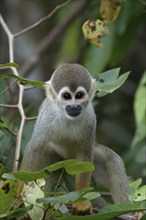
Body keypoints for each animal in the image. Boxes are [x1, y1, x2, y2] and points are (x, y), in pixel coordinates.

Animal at [21, 63, 129, 215]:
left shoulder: (90, 118)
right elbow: (35, 149)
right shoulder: (47, 118)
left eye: (79, 96)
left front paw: (81, 201)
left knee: (111, 160)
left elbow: (85, 155)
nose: (74, 106)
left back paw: (128, 211)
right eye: (67, 96)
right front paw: (18, 199)